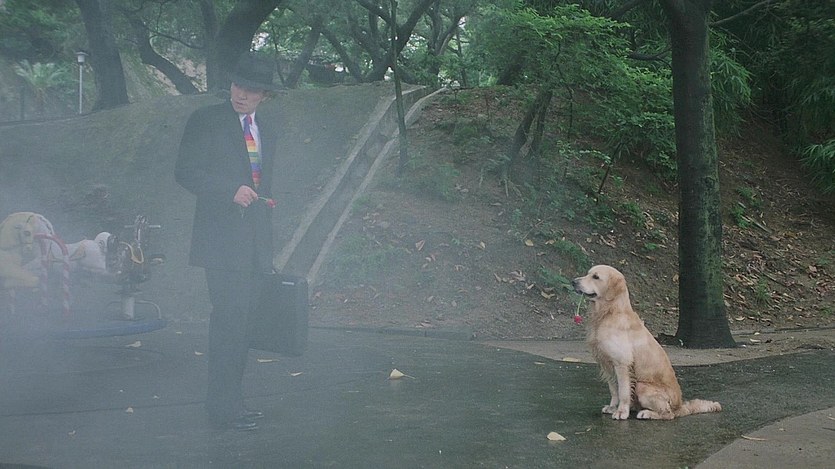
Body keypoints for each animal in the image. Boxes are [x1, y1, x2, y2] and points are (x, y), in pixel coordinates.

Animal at [572, 265, 722, 420]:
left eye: (596, 277)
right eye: (588, 274)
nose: (573, 282)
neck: (609, 313)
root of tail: (680, 406)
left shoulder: (622, 363)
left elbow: (623, 391)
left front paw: (621, 412)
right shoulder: (607, 365)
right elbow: (614, 390)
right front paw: (612, 407)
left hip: (643, 386)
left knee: (668, 414)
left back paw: (647, 413)